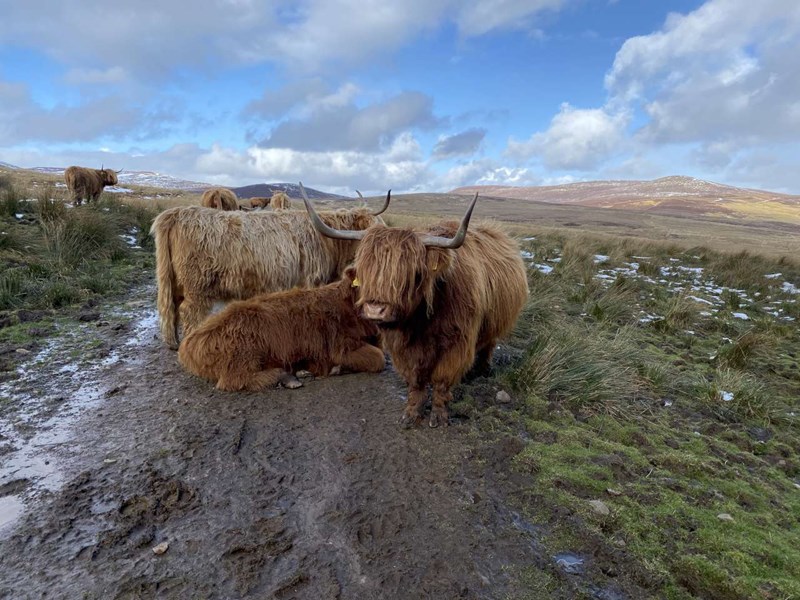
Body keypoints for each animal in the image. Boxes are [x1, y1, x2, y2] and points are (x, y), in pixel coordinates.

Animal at [178, 266, 384, 390]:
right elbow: (378, 358)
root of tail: (190, 341)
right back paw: (287, 376)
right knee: (233, 380)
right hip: (244, 355)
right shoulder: (340, 347)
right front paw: (337, 369)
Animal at [304, 188, 528, 426]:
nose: (375, 310)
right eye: (365, 270)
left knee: (489, 344)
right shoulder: (402, 348)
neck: (422, 322)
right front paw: (412, 413)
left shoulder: (457, 343)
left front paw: (439, 415)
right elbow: (415, 380)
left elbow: (442, 380)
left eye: (414, 274)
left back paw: (482, 369)